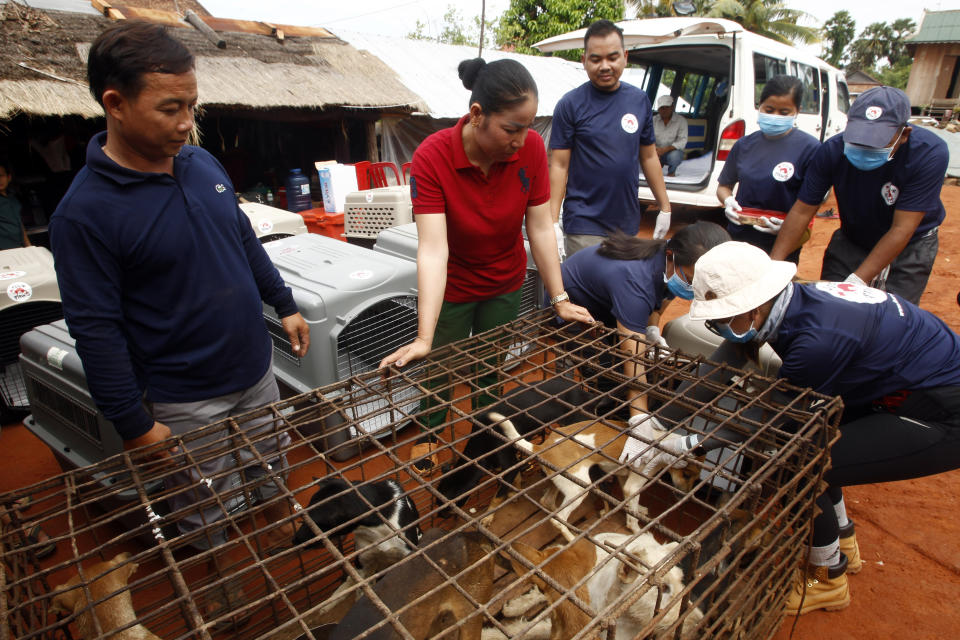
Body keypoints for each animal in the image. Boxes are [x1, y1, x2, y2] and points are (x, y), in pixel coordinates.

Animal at [496, 418, 696, 544]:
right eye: (686, 474)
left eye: (696, 476)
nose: (684, 495)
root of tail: (542, 446)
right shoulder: (634, 484)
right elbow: (632, 515)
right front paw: (636, 529)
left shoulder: (623, 477)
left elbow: (628, 503)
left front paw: (639, 509)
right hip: (579, 488)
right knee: (558, 519)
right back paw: (572, 538)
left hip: (562, 483)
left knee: (548, 502)